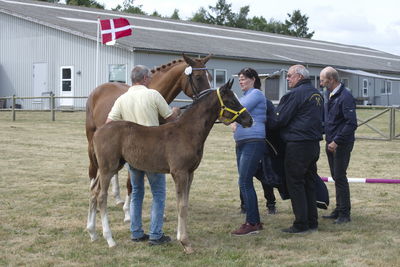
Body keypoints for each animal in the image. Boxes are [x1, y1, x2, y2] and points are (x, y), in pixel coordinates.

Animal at [85, 53, 212, 221]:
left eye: (210, 76)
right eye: (198, 77)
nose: (209, 98)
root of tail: (98, 90)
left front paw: (159, 213)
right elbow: (131, 183)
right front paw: (128, 213)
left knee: (112, 173)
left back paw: (117, 197)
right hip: (91, 142)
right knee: (93, 171)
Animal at [87, 79, 252, 253]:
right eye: (231, 101)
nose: (249, 120)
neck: (187, 132)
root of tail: (97, 132)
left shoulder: (190, 173)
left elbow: (184, 202)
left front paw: (180, 236)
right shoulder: (180, 173)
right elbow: (182, 205)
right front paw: (185, 242)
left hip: (110, 167)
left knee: (93, 191)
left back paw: (92, 233)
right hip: (108, 168)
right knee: (101, 196)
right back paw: (109, 239)